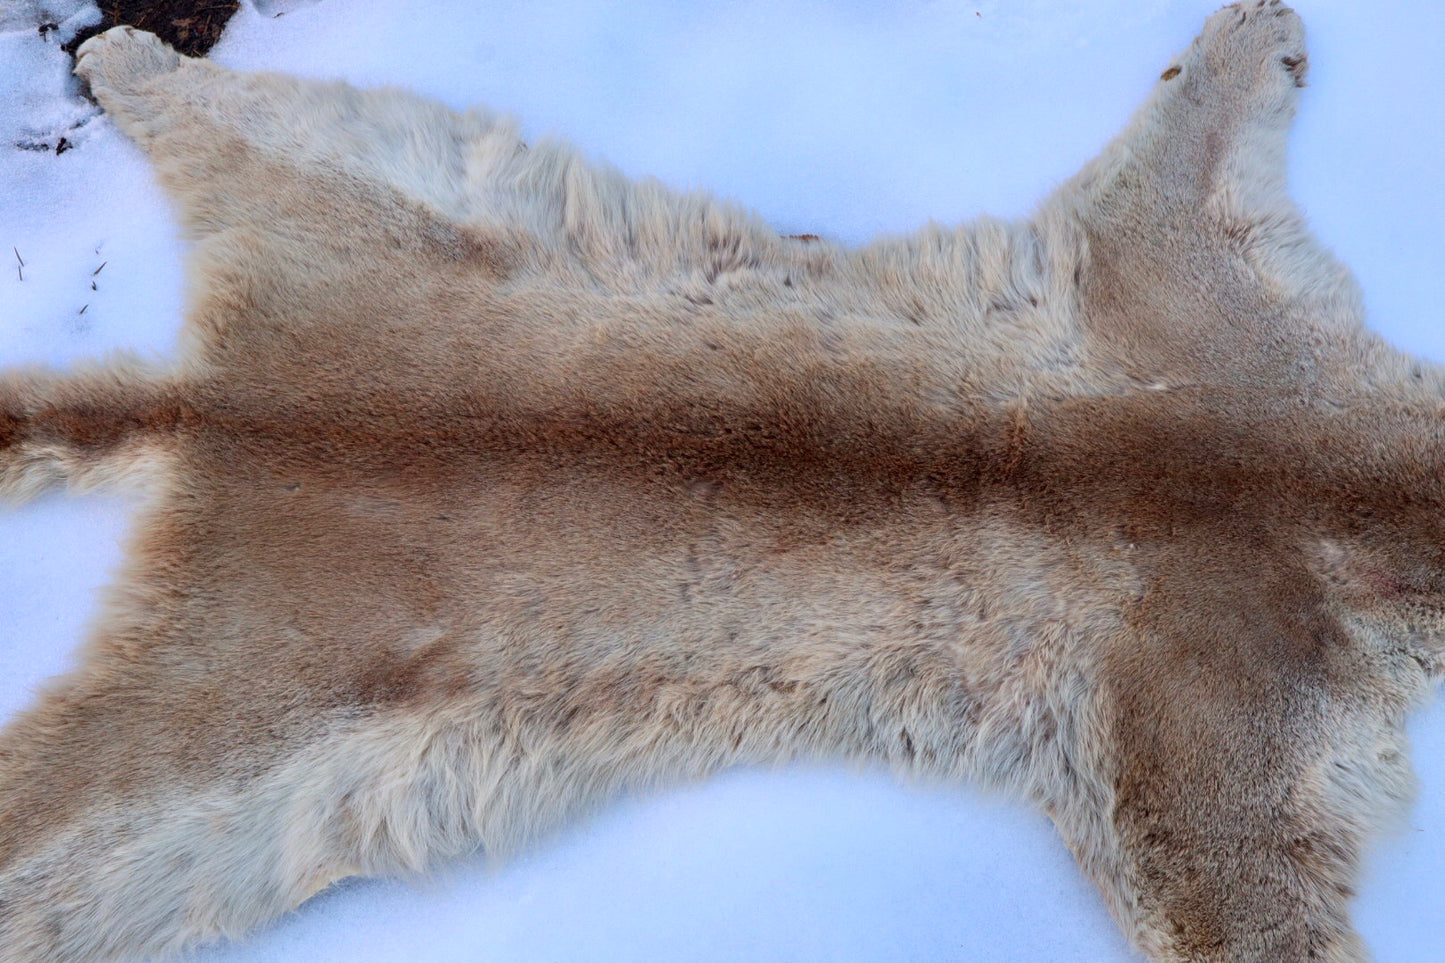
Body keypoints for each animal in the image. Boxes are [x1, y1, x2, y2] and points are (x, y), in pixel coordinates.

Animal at [1, 3, 1440, 959]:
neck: (1339, 482)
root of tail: (218, 403)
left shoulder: (1218, 323)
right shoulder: (1196, 696)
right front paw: (1252, 30)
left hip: (346, 186)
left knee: (237, 120)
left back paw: (118, 60)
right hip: (220, 755)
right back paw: (121, 51)